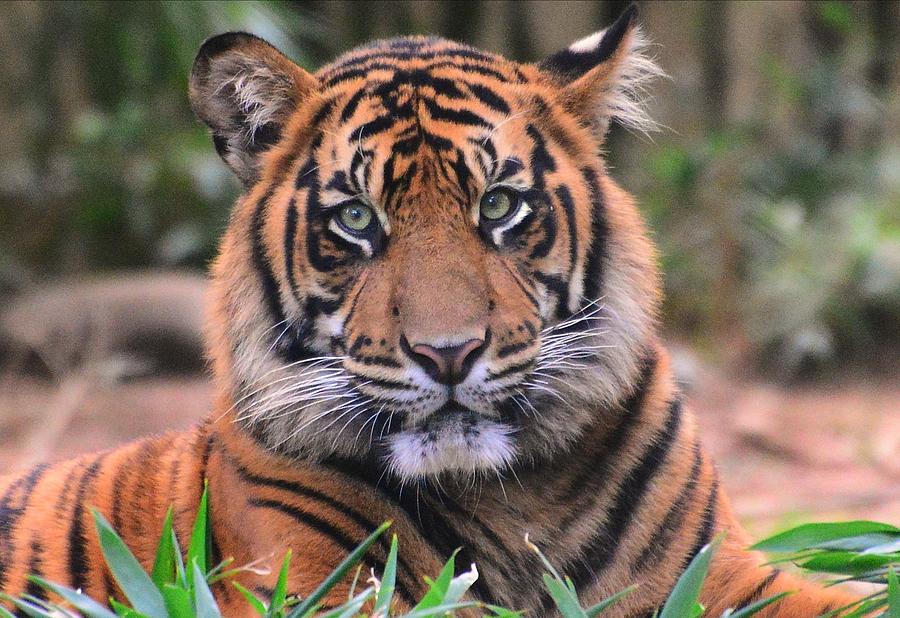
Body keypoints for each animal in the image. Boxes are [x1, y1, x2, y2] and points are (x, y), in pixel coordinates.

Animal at [0, 6, 864, 616]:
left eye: (500, 205)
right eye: (356, 218)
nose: (448, 354)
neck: (518, 499)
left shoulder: (721, 573)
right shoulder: (325, 589)